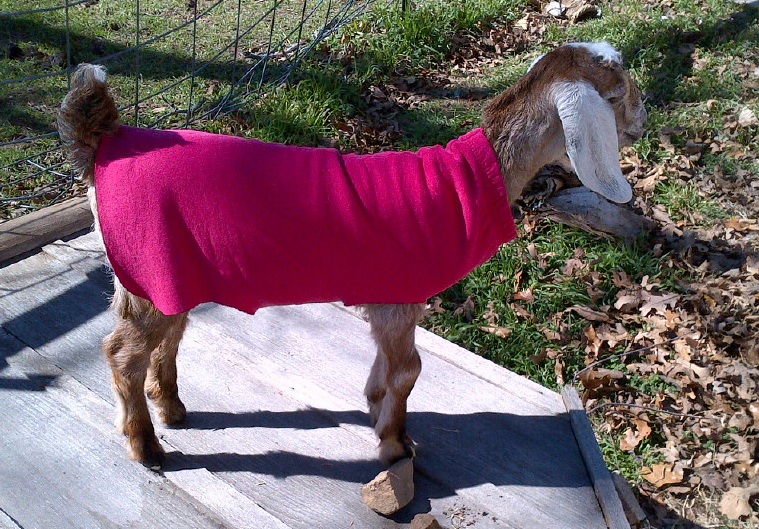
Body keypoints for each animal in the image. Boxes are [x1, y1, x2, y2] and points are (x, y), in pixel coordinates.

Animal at [58, 41, 646, 470]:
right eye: (617, 94)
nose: (643, 124)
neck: (466, 183)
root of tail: (104, 143)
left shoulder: (387, 302)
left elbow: (387, 367)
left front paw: (374, 406)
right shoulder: (401, 296)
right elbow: (409, 370)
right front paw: (395, 445)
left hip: (167, 273)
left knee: (168, 334)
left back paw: (173, 409)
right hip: (148, 266)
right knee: (121, 354)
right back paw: (146, 447)